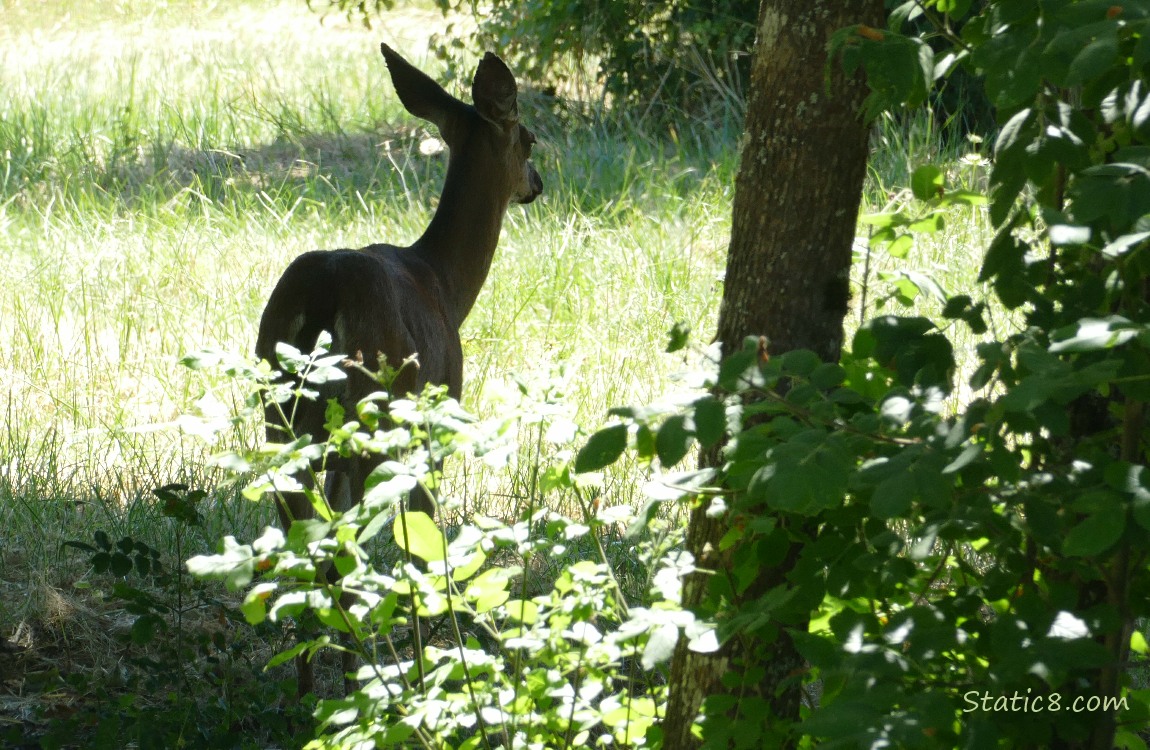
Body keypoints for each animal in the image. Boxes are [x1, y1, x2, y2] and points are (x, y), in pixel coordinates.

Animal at [254, 43, 542, 697]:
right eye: (530, 139)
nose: (537, 184)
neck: (447, 285)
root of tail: (323, 299)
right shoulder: (435, 423)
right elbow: (421, 546)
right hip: (369, 417)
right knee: (343, 551)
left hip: (282, 422)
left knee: (307, 548)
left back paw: (310, 688)